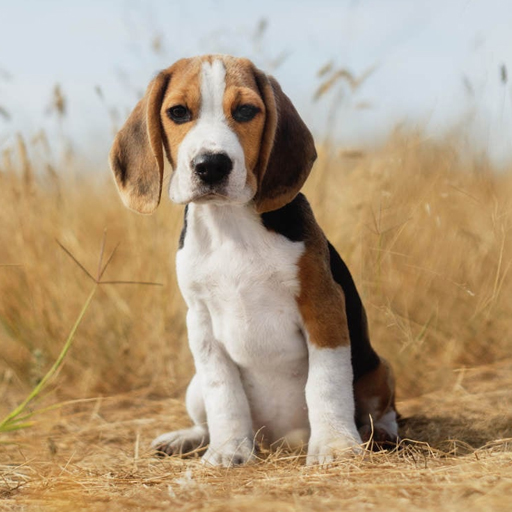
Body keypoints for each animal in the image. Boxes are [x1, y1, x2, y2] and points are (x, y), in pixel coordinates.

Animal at [110, 54, 398, 466]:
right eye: (178, 112)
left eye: (246, 111)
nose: (211, 165)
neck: (230, 225)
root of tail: (278, 440)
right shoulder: (200, 322)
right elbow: (224, 393)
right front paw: (228, 451)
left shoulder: (323, 305)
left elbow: (325, 383)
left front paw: (335, 446)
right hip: (193, 387)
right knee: (206, 417)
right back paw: (186, 438)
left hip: (378, 369)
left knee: (382, 408)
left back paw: (383, 433)